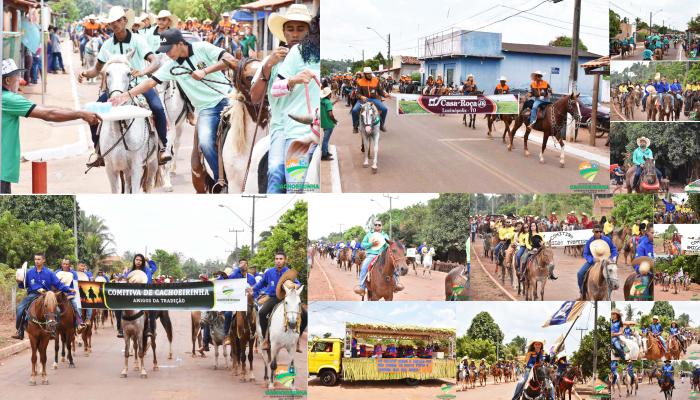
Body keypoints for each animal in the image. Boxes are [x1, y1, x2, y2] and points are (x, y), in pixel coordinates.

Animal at [101, 49, 161, 193]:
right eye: (107, 73)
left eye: (128, 73)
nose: (116, 100)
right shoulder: (111, 169)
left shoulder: (136, 168)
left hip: (152, 164)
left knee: (148, 185)